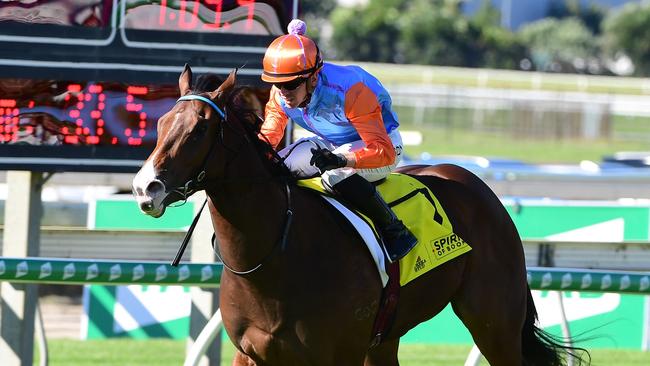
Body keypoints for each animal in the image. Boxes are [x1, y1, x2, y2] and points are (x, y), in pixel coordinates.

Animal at [133, 66, 588, 366]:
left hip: (494, 322)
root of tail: (477, 186)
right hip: (387, 337)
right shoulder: (251, 355)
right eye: (161, 122)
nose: (145, 188)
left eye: (199, 130)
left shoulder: (339, 353)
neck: (275, 258)